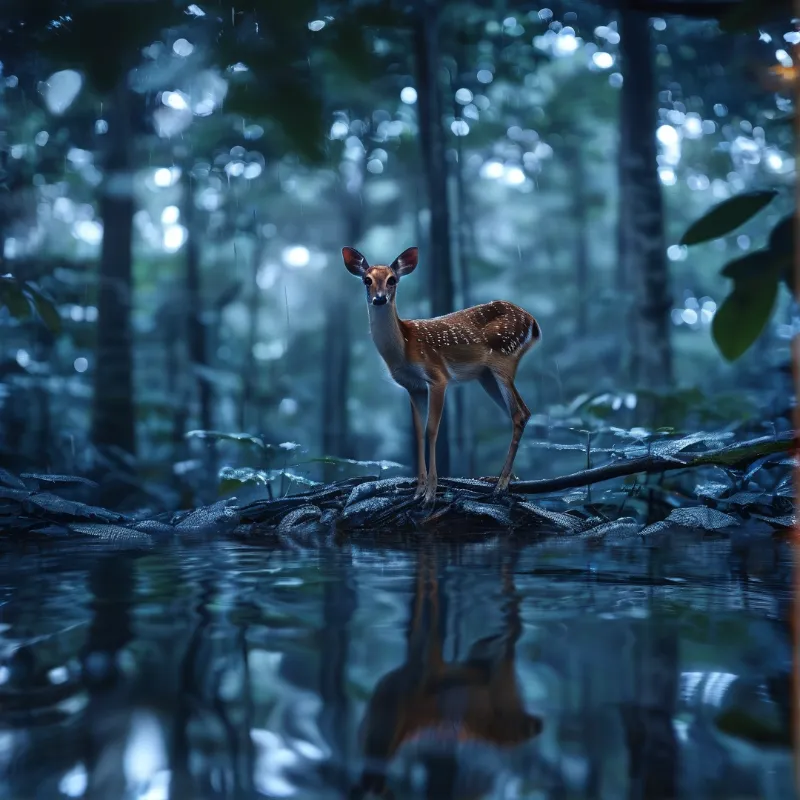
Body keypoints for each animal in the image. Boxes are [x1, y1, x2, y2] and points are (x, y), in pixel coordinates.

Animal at [342, 246, 541, 506]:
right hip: (486, 376)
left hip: (504, 360)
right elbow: (417, 432)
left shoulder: (438, 376)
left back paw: (500, 486)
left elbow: (432, 429)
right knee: (518, 413)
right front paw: (417, 491)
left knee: (519, 413)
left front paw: (430, 494)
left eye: (392, 280)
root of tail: (533, 322)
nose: (380, 298)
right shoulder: (413, 386)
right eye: (367, 280)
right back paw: (502, 480)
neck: (404, 347)